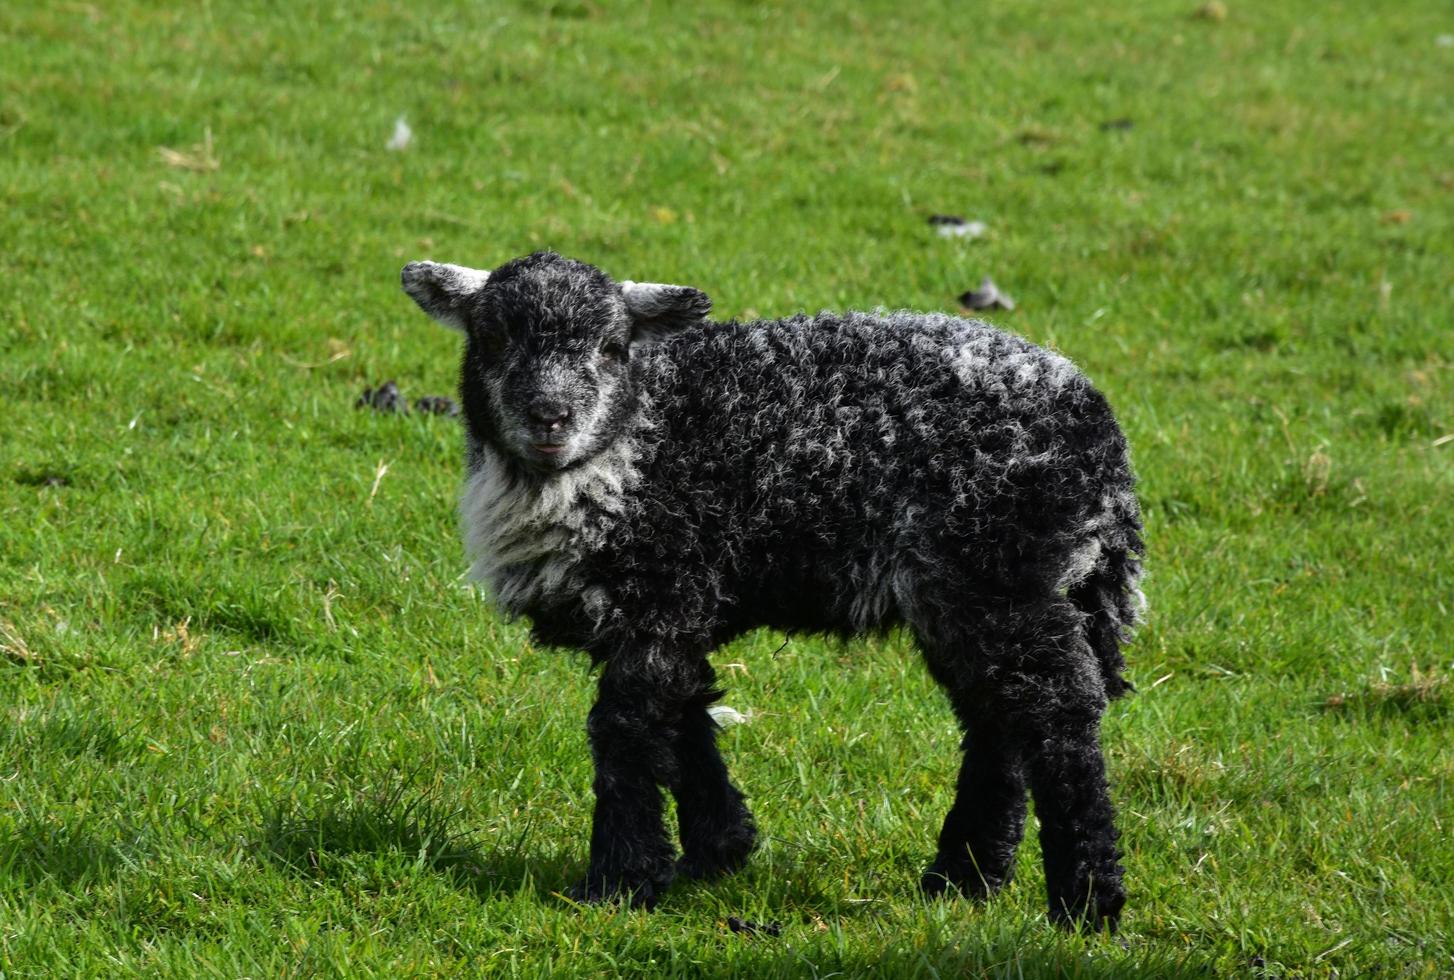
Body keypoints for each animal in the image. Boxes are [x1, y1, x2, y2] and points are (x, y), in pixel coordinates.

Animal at [401, 248, 1145, 924]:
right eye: (493, 339)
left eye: (613, 348)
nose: (549, 415)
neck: (630, 446)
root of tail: (1102, 437)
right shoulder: (673, 604)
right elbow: (685, 711)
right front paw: (720, 847)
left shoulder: (663, 588)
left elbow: (627, 728)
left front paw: (620, 879)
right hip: (966, 592)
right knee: (997, 717)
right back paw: (964, 878)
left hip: (998, 571)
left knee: (1057, 708)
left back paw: (1085, 898)